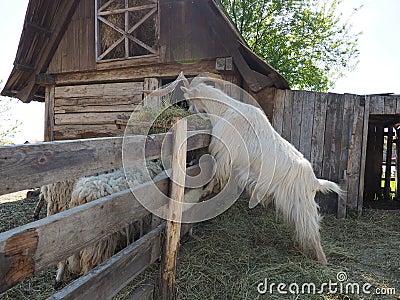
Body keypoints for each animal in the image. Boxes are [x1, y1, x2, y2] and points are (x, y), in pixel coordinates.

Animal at [176, 73, 344, 264]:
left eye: (188, 99)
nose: (188, 111)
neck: (225, 110)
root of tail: (314, 182)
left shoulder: (225, 154)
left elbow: (217, 173)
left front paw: (206, 191)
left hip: (302, 205)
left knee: (312, 230)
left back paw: (322, 261)